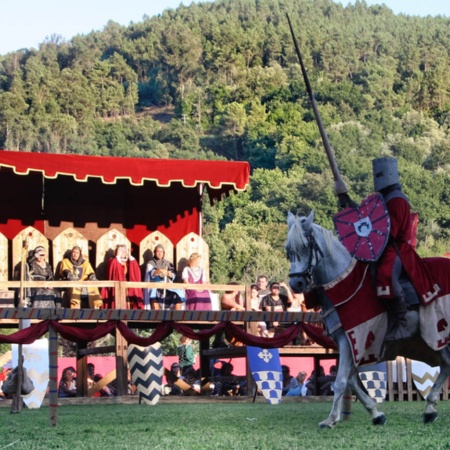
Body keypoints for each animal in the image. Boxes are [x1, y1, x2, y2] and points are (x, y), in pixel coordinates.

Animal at [286, 211, 450, 428]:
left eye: (305, 246)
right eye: (288, 250)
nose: (295, 283)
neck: (342, 283)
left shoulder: (352, 340)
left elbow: (341, 381)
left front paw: (331, 419)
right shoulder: (349, 343)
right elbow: (351, 381)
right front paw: (376, 413)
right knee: (446, 364)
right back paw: (430, 408)